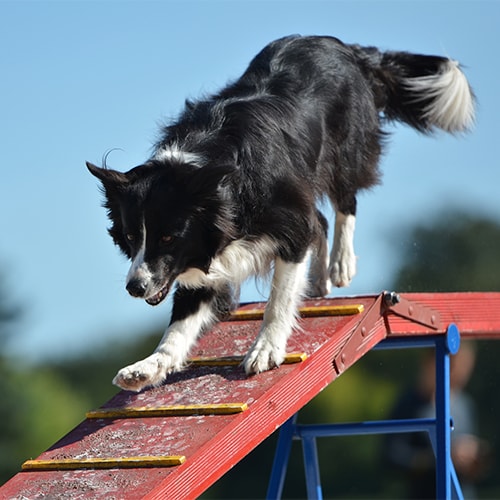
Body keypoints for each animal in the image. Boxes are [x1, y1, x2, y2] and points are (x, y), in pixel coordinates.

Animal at [86, 36, 472, 394]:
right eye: (131, 237)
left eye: (168, 237)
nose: (135, 287)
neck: (213, 178)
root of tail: (343, 45)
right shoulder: (207, 255)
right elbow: (180, 323)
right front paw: (149, 367)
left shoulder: (286, 220)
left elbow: (280, 296)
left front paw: (265, 349)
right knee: (322, 220)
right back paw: (319, 278)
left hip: (343, 150)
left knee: (345, 202)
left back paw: (340, 263)